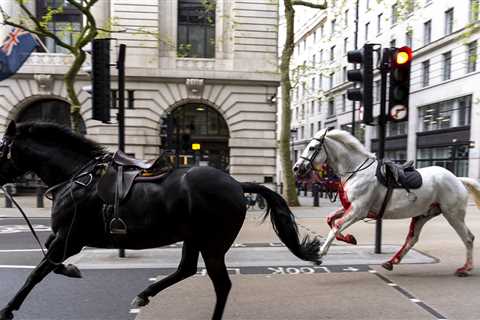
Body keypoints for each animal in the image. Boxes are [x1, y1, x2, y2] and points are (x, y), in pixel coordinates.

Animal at [0, 121, 322, 318]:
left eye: (1, 146)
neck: (77, 176)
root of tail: (236, 183)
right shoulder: (63, 238)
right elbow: (47, 260)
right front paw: (70, 270)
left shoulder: (70, 238)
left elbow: (37, 272)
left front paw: (9, 308)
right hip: (194, 238)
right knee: (187, 270)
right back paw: (145, 294)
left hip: (213, 244)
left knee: (221, 284)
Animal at [292, 129, 480, 276]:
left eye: (312, 148)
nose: (296, 168)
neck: (356, 171)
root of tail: (458, 179)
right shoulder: (351, 208)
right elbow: (331, 220)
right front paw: (349, 238)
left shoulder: (358, 210)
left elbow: (336, 225)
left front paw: (320, 252)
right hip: (423, 214)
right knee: (412, 239)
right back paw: (391, 262)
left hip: (452, 214)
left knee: (468, 238)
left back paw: (465, 268)